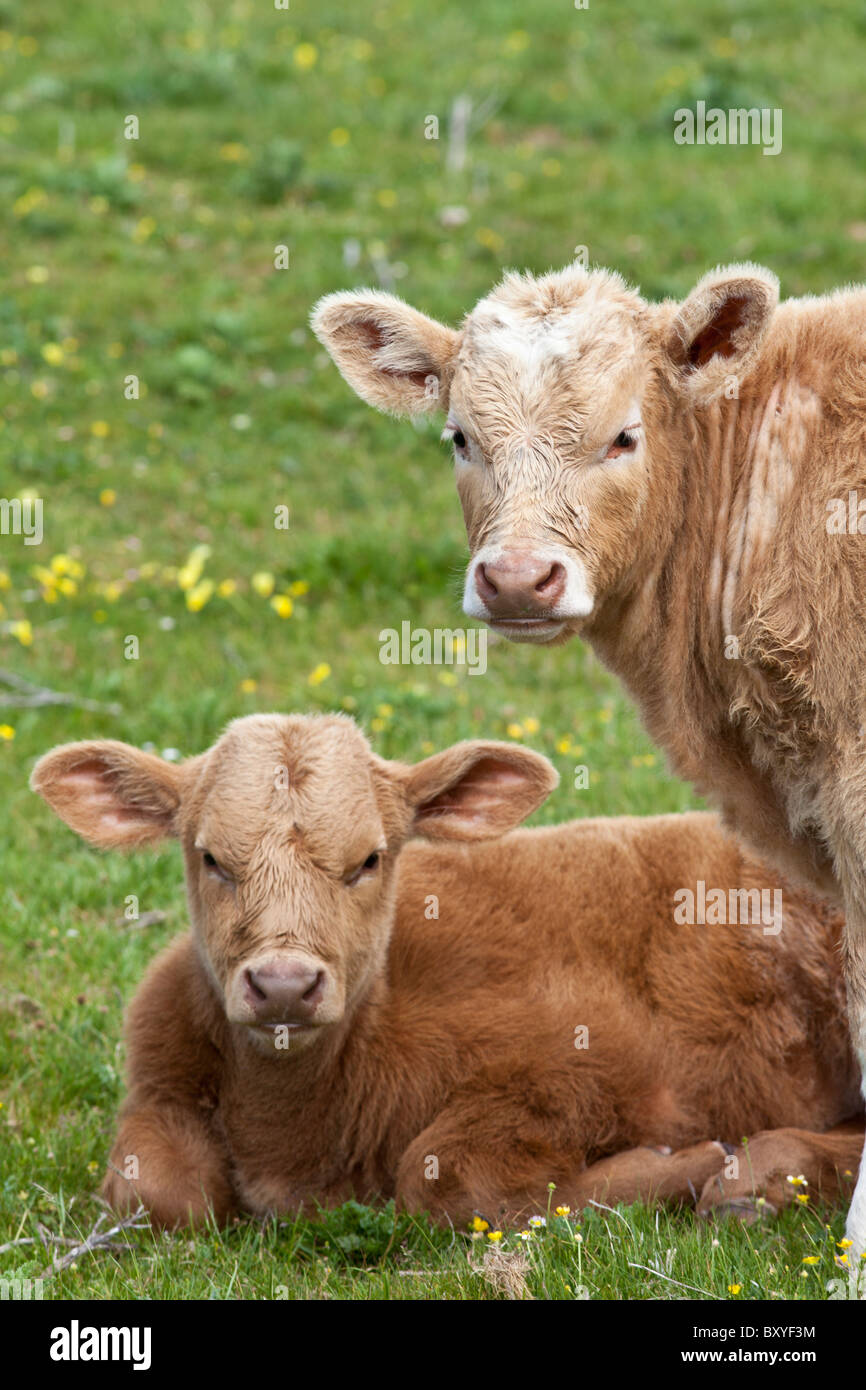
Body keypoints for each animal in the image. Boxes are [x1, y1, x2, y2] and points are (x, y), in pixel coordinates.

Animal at [30, 717, 861, 1228]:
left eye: (369, 859)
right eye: (211, 858)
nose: (284, 984)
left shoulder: (589, 1067)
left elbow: (445, 1177)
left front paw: (680, 1164)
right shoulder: (157, 1077)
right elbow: (158, 1192)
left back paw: (757, 1175)